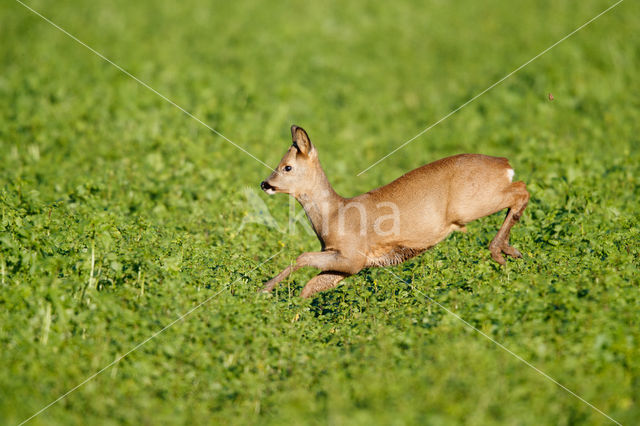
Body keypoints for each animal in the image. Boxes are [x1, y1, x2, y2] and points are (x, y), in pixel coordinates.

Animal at [260, 126, 528, 298]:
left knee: (521, 190)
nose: (265, 184)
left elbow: (302, 257)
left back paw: (500, 252)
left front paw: (264, 289)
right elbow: (308, 288)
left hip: (470, 205)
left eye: (287, 167)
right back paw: (512, 252)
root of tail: (505, 164)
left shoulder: (353, 257)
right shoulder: (345, 263)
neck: (334, 213)